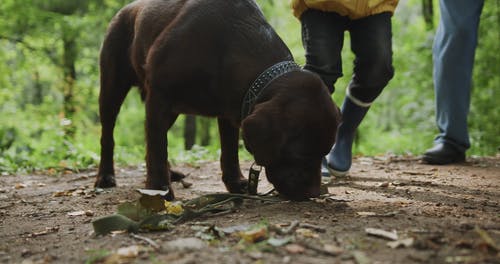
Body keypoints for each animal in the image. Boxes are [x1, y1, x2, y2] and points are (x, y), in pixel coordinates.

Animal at [94, 0, 340, 200]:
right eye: (300, 155)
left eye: (324, 153)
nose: (313, 194)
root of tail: (127, 9)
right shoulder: (159, 96)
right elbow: (158, 148)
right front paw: (158, 189)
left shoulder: (232, 109)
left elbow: (229, 151)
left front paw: (236, 183)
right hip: (112, 89)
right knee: (109, 136)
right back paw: (106, 176)